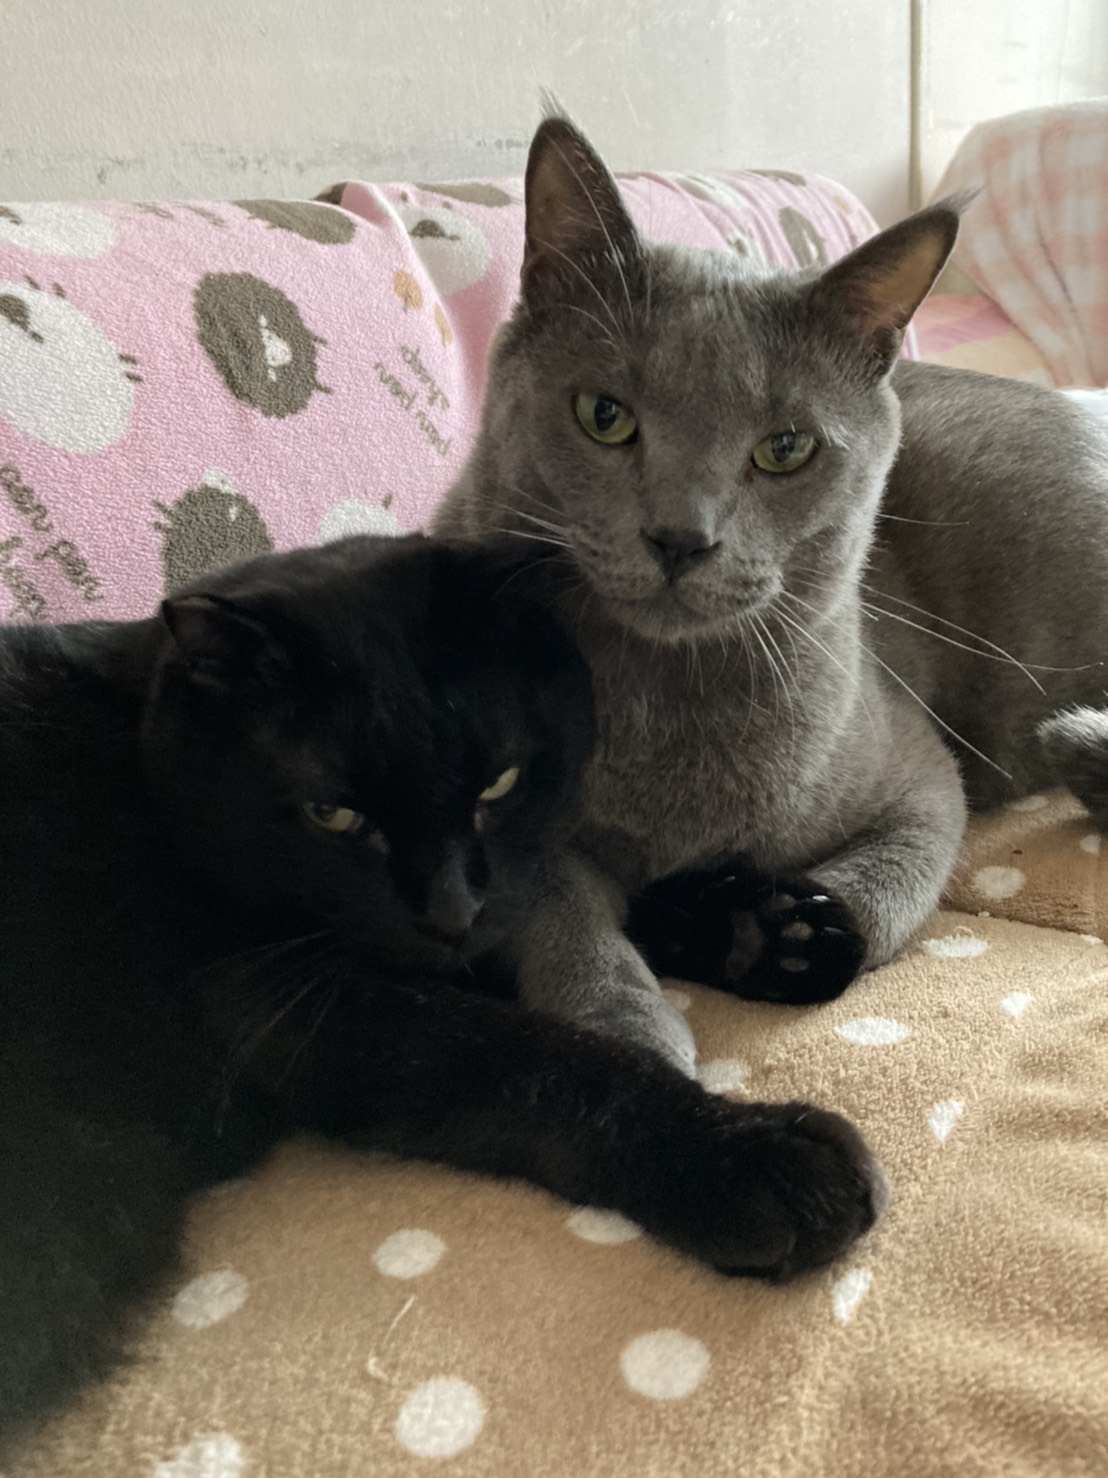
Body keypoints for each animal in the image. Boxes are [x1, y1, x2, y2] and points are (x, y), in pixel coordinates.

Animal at [0, 532, 882, 1453]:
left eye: (498, 783)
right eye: (331, 815)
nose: (448, 909)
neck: (140, 765)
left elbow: (578, 907)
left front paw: (773, 931)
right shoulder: (317, 1007)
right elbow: (549, 1064)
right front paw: (758, 1156)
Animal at [434, 115, 1108, 1073]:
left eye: (785, 449)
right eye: (605, 415)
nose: (681, 537)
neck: (661, 710)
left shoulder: (921, 774)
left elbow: (894, 881)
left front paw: (763, 931)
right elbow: (558, 914)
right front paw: (630, 1029)